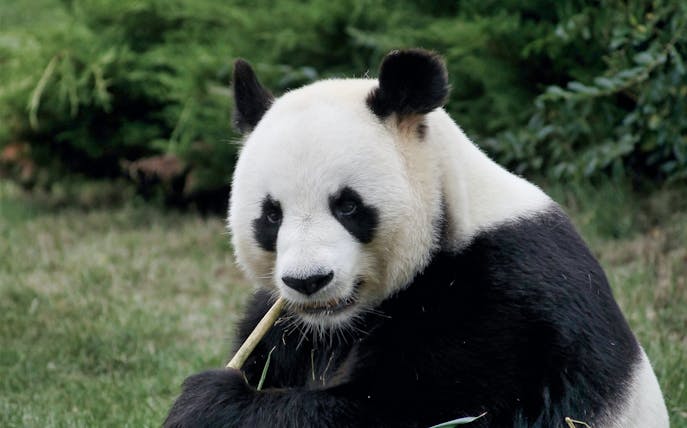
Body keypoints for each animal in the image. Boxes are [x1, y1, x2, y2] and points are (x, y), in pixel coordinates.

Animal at [164, 49, 669, 427]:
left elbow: (413, 410)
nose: (309, 281)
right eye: (271, 216)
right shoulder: (287, 324)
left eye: (347, 206)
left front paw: (207, 403)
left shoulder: (503, 304)